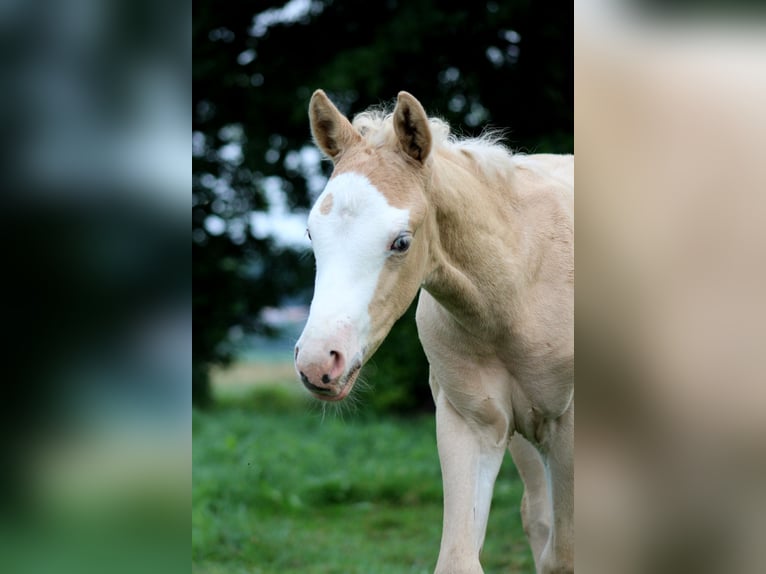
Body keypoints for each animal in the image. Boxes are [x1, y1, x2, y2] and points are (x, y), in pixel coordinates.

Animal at [294, 90, 573, 574]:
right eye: (312, 233)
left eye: (402, 242)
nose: (318, 361)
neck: (520, 290)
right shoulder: (471, 422)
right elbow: (459, 559)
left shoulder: (570, 429)